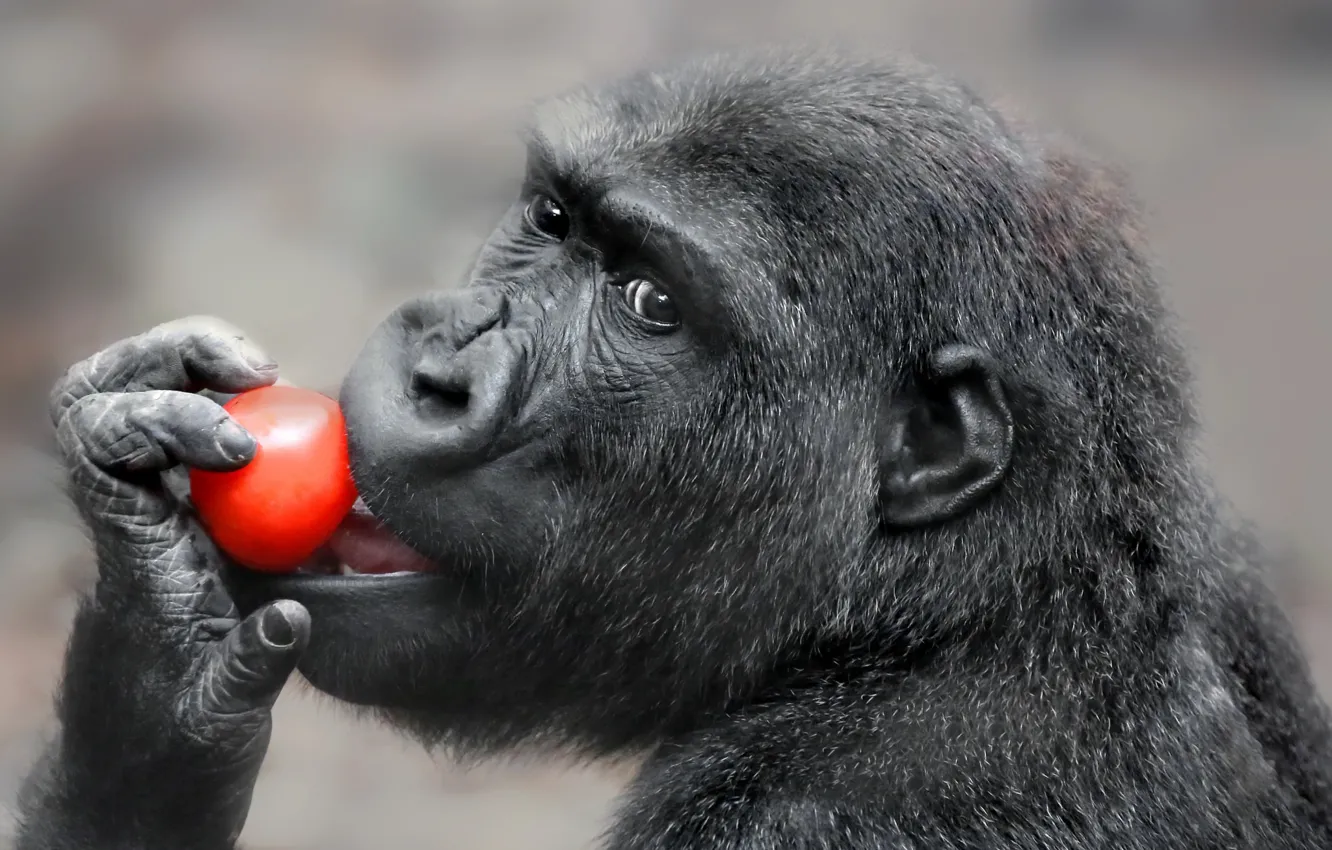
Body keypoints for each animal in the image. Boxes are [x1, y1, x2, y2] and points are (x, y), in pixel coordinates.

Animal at [15, 48, 1332, 849]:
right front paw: (152, 642)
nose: (439, 369)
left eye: (651, 303)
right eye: (553, 222)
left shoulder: (820, 816)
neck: (962, 610)